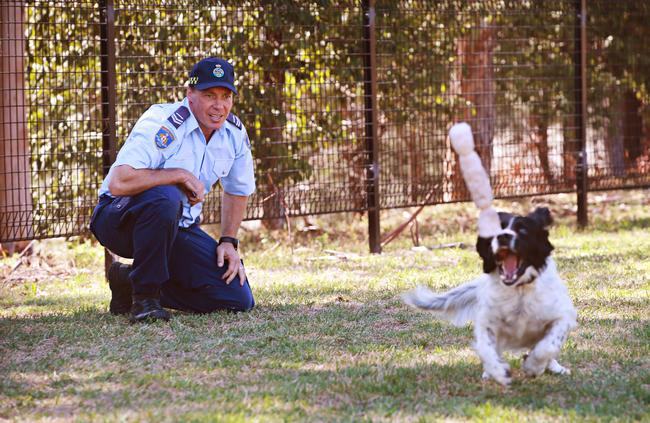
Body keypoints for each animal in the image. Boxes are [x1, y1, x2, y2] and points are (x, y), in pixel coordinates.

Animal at [400, 207, 576, 386]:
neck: (518, 291)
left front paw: (533, 367)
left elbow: (548, 346)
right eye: (495, 229)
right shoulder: (487, 322)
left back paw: (555, 367)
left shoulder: (563, 317)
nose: (503, 236)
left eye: (522, 230)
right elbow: (485, 349)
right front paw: (498, 372)